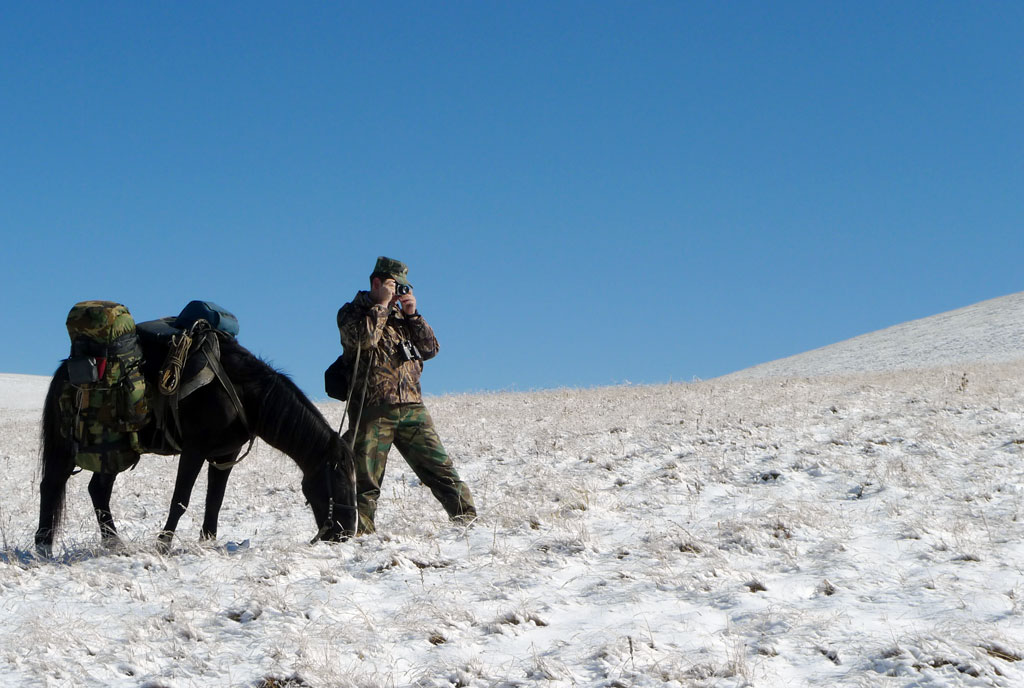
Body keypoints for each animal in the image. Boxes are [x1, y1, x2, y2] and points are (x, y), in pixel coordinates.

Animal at [35, 333, 356, 556]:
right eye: (340, 479)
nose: (347, 534)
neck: (244, 395)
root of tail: (63, 372)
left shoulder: (225, 455)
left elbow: (215, 500)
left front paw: (208, 542)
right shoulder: (194, 451)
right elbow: (180, 500)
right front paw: (163, 545)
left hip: (113, 452)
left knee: (98, 490)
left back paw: (115, 544)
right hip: (68, 448)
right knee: (51, 485)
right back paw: (43, 547)